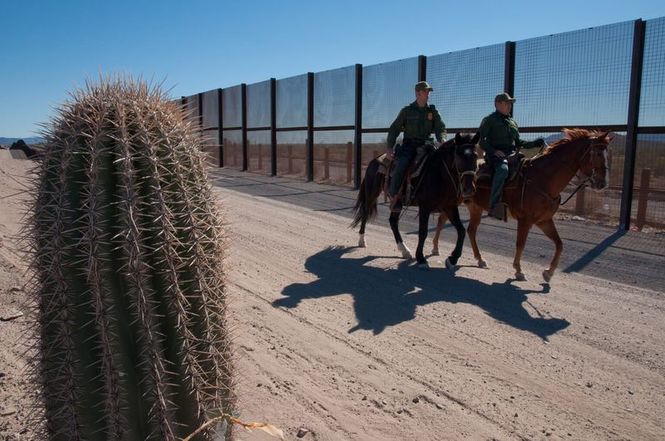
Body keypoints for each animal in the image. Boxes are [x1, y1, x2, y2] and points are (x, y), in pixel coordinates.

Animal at [352, 132, 478, 266]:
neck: (439, 174)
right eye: (459, 156)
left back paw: (404, 250)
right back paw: (362, 241)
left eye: (476, 156)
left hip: (397, 202)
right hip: (372, 193)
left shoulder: (450, 207)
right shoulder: (425, 208)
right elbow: (423, 232)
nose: (469, 189)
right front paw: (421, 258)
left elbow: (461, 231)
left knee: (393, 221)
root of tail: (375, 160)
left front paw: (453, 258)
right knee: (365, 212)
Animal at [430, 129, 612, 282]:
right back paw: (436, 248)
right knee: (441, 222)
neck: (542, 179)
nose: (602, 183)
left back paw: (479, 259)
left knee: (470, 230)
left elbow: (560, 244)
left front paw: (548, 273)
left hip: (475, 208)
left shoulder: (544, 220)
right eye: (596, 153)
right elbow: (520, 244)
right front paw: (518, 270)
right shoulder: (525, 220)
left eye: (607, 153)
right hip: (454, 202)